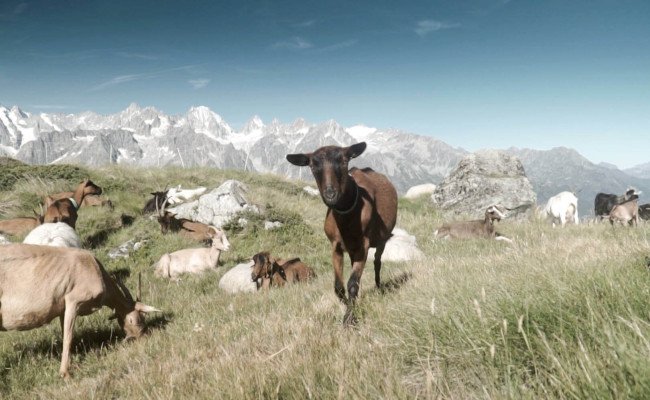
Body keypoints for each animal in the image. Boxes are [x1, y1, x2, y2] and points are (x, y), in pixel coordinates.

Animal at [0, 244, 161, 378]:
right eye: (136, 320)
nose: (141, 338)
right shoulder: (74, 301)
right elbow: (69, 337)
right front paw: (65, 373)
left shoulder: (63, 309)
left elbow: (65, 333)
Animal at [288, 142, 398, 324]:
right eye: (312, 165)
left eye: (344, 161)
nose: (330, 194)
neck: (347, 220)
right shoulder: (336, 246)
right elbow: (338, 287)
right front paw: (349, 306)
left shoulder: (363, 246)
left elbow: (352, 284)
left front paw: (349, 319)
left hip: (381, 240)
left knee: (377, 262)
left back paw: (378, 286)